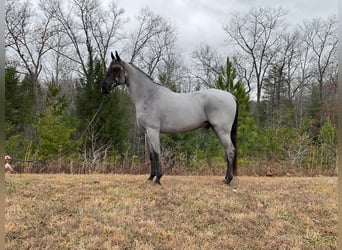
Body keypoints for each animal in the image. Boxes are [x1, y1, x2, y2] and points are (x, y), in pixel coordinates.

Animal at [101, 50, 238, 185]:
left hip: (222, 131)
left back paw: (228, 180)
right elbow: (151, 155)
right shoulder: (147, 132)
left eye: (115, 68)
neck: (149, 96)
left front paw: (158, 178)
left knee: (230, 151)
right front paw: (151, 177)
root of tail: (231, 96)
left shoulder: (153, 130)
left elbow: (157, 154)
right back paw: (225, 178)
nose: (103, 88)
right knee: (227, 151)